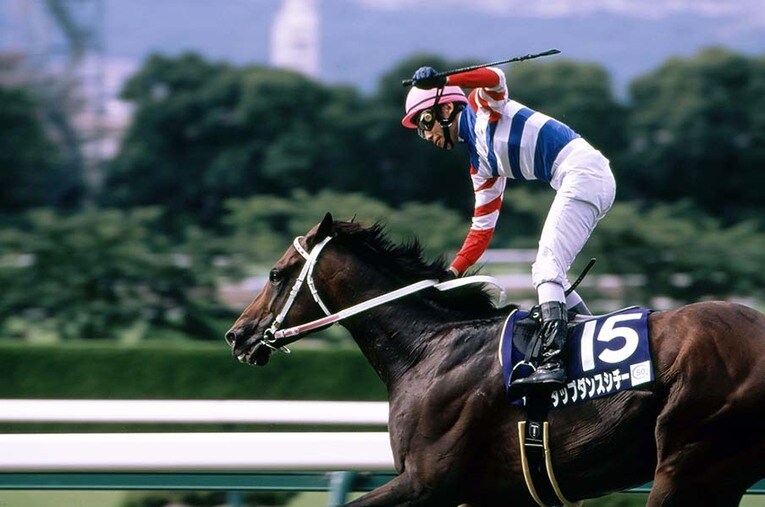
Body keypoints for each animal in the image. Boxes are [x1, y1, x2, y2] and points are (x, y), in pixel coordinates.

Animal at [225, 213, 765, 506]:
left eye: (275, 274)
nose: (237, 335)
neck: (429, 348)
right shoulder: (495, 492)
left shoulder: (426, 483)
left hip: (686, 459)